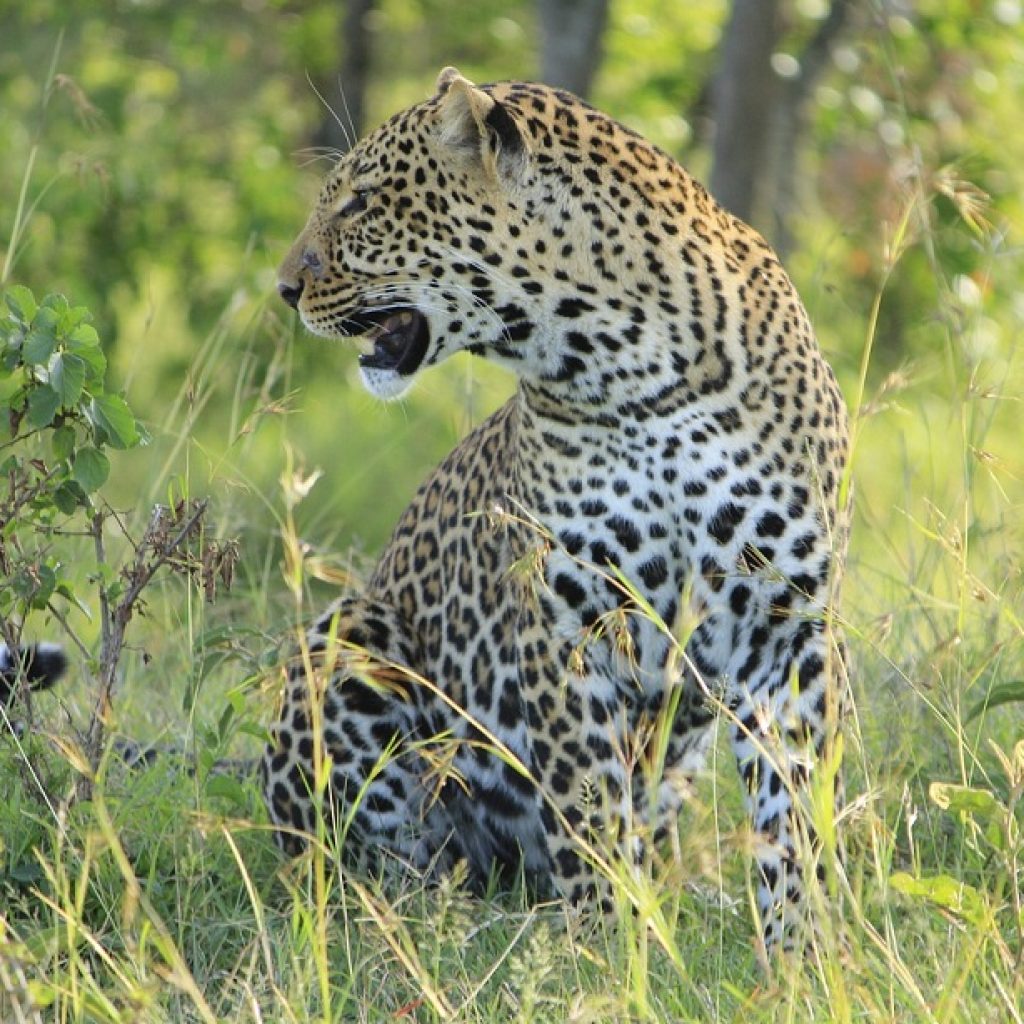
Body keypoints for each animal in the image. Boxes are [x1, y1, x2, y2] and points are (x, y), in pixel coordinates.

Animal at [268, 66, 851, 958]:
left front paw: (803, 954)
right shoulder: (566, 624)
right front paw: (611, 951)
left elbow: (795, 812)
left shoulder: (786, 626)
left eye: (361, 202)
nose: (284, 289)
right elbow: (590, 811)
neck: (633, 369)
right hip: (347, 639)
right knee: (376, 860)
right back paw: (437, 922)